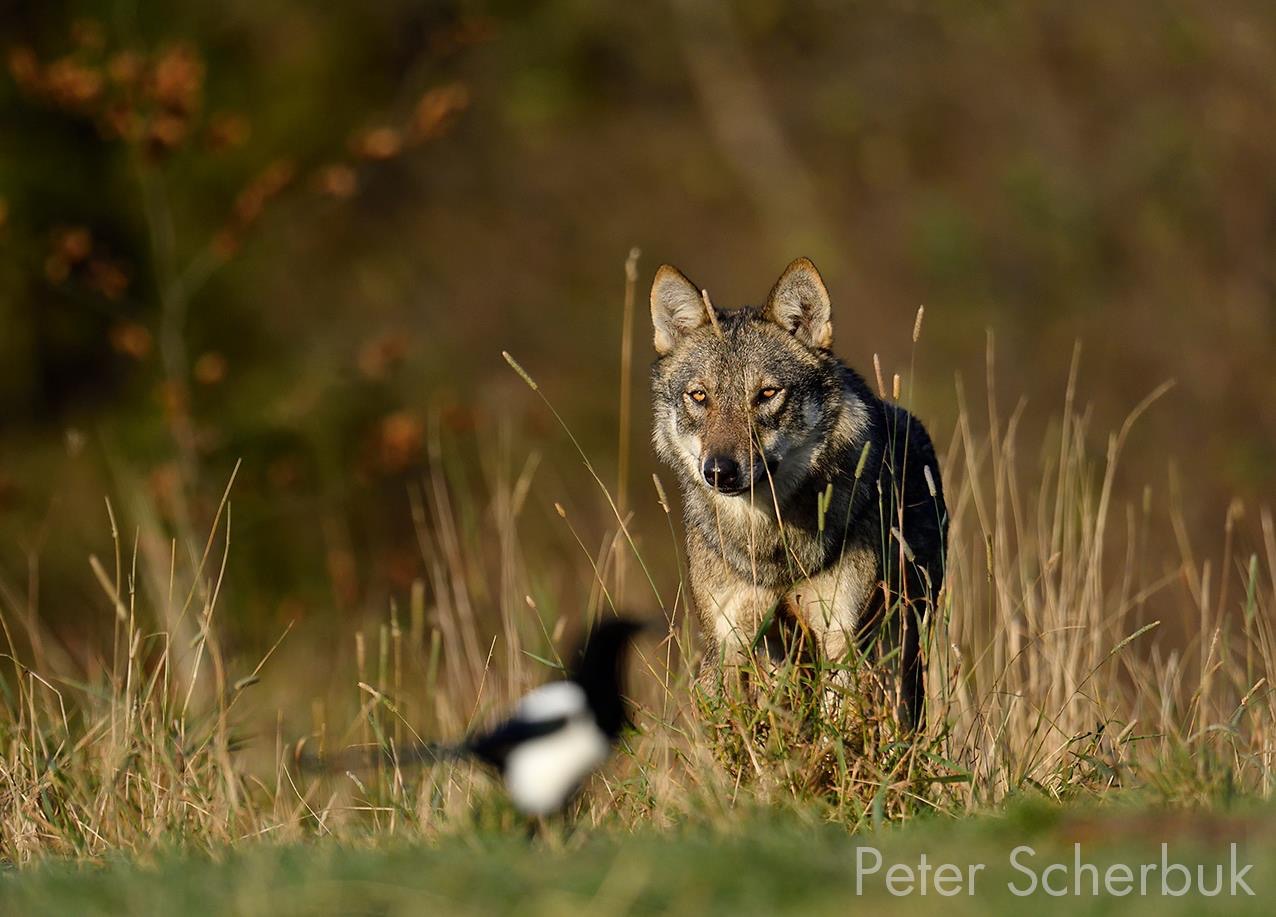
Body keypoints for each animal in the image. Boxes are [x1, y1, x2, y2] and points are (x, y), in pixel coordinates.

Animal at [648, 255, 949, 729]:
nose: (719, 471)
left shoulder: (840, 637)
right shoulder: (731, 641)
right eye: (699, 396)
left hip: (899, 647)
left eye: (767, 394)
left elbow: (834, 729)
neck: (772, 543)